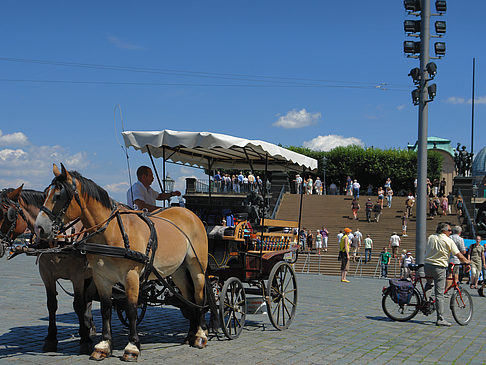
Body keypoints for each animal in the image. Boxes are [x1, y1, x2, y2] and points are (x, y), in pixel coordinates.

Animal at [0, 185, 96, 352]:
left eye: (8, 215)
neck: (58, 238)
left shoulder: (77, 276)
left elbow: (78, 304)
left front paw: (85, 341)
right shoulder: (46, 275)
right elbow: (51, 304)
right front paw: (51, 339)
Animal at [35, 166, 214, 362]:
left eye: (58, 195)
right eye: (45, 193)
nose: (39, 228)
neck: (111, 232)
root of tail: (190, 214)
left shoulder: (131, 276)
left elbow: (131, 309)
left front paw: (132, 347)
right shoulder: (101, 278)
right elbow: (106, 309)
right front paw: (103, 346)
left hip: (197, 265)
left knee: (198, 295)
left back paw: (200, 335)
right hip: (178, 270)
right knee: (187, 297)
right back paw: (190, 334)